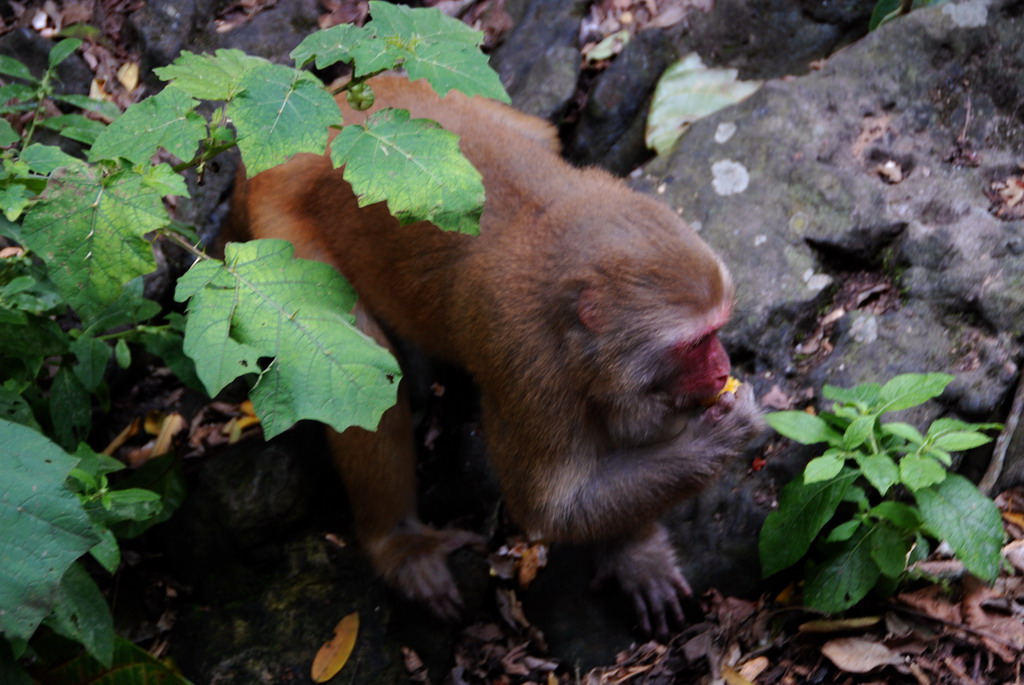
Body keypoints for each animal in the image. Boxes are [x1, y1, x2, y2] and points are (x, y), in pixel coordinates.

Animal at [228, 73, 765, 634]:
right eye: (694, 343)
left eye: (717, 330)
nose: (722, 368)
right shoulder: (528, 366)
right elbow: (551, 509)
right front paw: (720, 438)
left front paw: (633, 548)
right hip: (279, 236)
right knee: (358, 371)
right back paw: (399, 544)